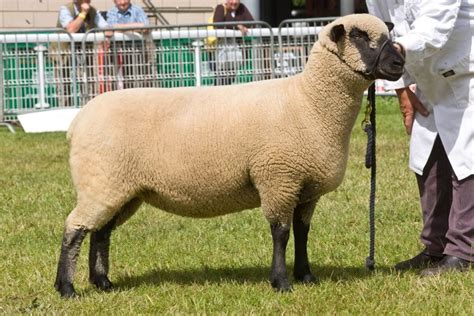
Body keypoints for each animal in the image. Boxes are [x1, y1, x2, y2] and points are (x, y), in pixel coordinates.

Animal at [54, 12, 404, 298]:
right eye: (359, 36)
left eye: (387, 34)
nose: (400, 64)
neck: (309, 102)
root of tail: (77, 121)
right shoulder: (278, 178)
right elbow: (281, 233)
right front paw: (281, 282)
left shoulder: (306, 188)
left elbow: (302, 232)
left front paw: (306, 276)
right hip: (100, 180)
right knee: (74, 229)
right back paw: (67, 288)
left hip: (122, 188)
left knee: (101, 232)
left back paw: (103, 283)